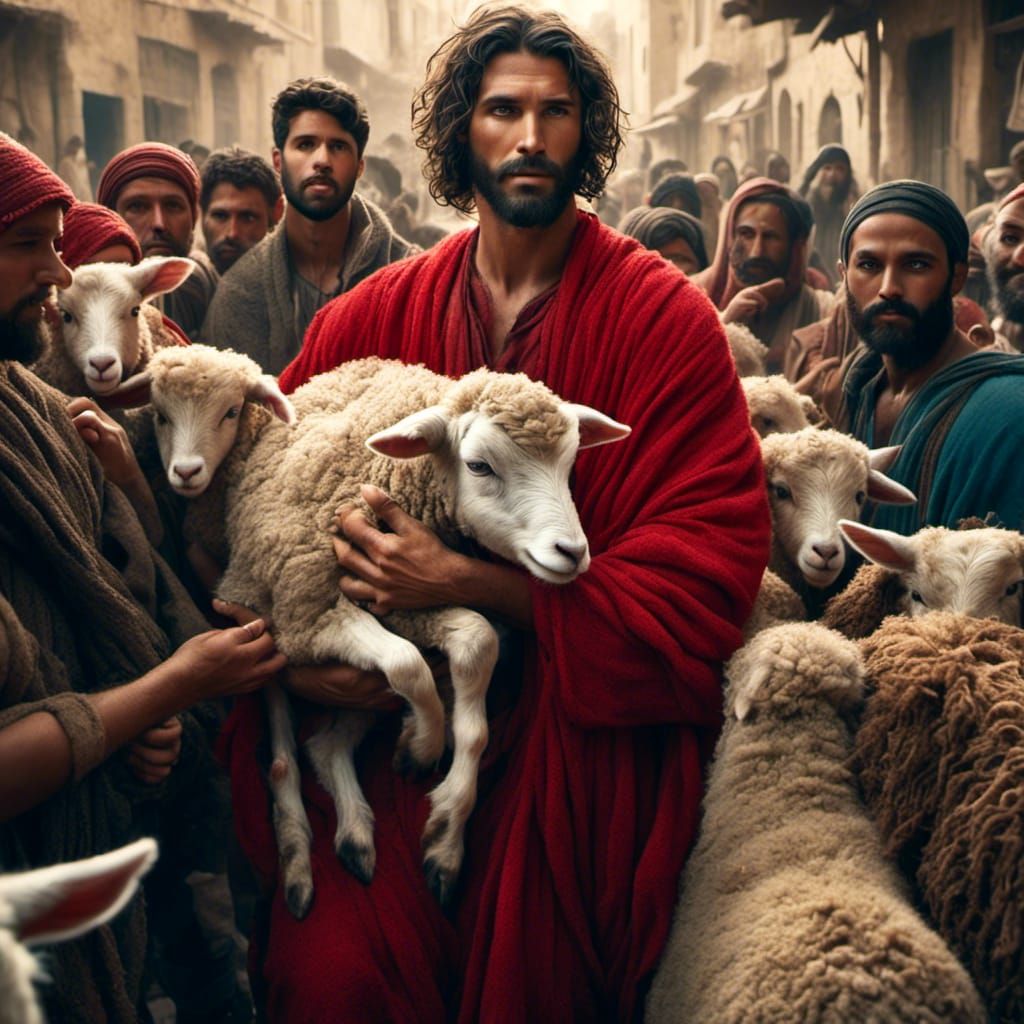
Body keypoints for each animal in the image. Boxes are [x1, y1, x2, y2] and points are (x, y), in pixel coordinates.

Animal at [144, 345, 629, 917]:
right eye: (479, 466)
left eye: (569, 464)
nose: (571, 553)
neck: (390, 481)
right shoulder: (308, 612)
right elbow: (405, 664)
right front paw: (423, 745)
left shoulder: (404, 598)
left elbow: (476, 649)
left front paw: (444, 835)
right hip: (263, 624)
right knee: (285, 757)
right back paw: (299, 864)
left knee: (325, 744)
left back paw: (356, 834)